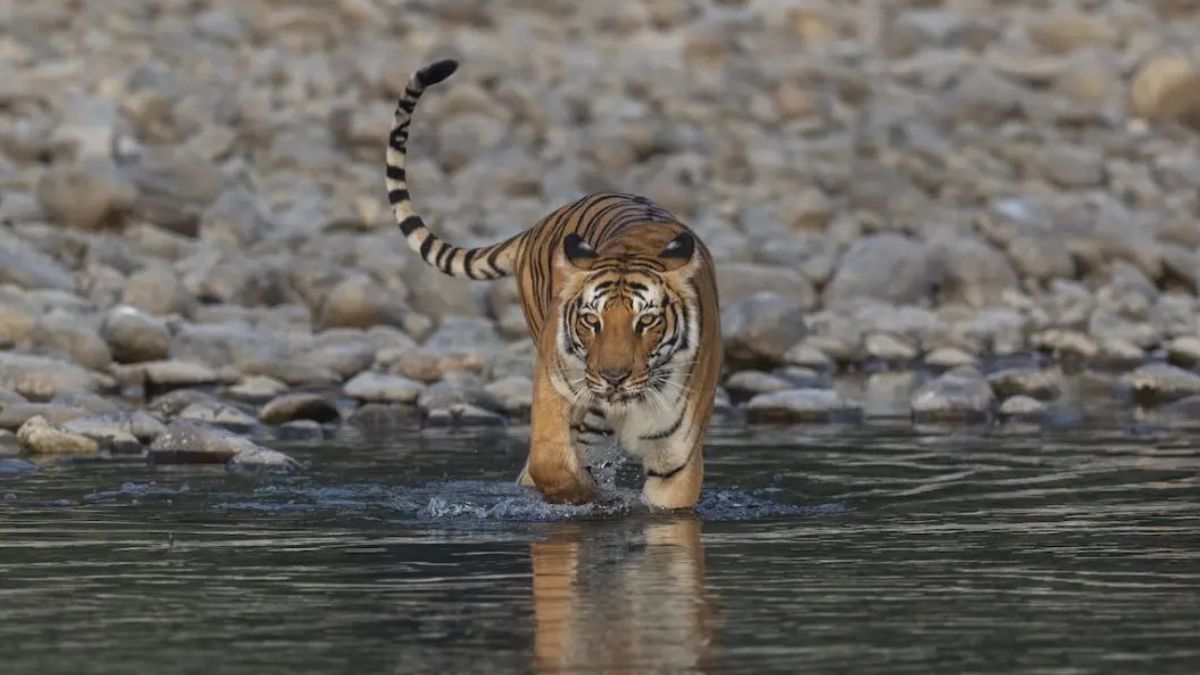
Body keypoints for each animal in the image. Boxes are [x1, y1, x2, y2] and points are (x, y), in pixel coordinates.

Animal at [384, 59, 721, 509]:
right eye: (591, 321)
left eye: (646, 322)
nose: (613, 378)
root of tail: (536, 224)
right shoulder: (555, 391)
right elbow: (552, 466)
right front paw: (587, 496)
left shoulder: (676, 463)